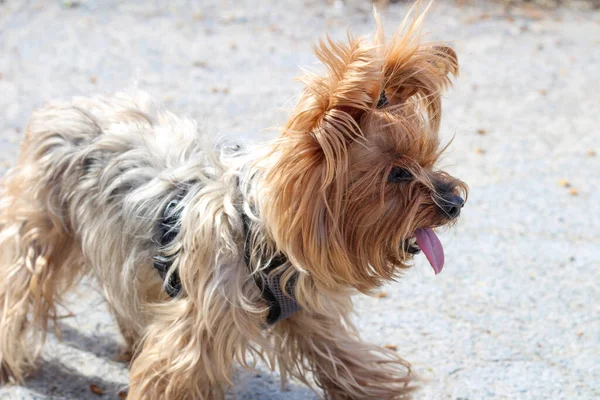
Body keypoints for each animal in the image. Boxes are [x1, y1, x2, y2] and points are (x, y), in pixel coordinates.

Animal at [0, 9, 464, 400]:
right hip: (40, 224)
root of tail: (59, 108)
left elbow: (345, 359)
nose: (456, 201)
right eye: (397, 174)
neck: (259, 231)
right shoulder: (195, 330)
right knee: (18, 283)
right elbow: (168, 374)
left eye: (428, 159)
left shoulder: (304, 312)